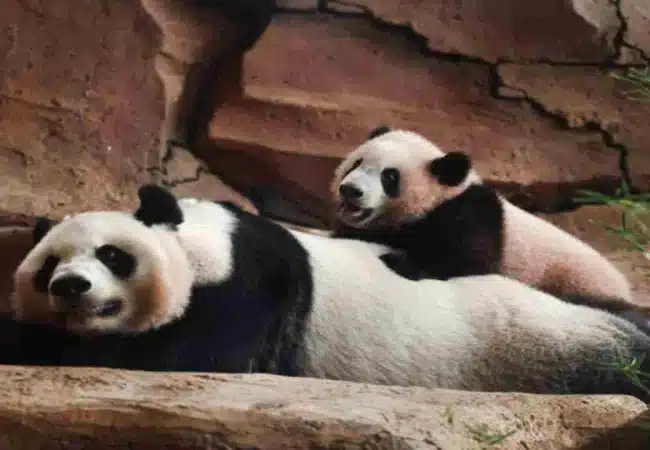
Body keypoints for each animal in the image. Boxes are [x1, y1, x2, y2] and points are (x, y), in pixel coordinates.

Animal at [8, 184, 650, 401]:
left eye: (113, 255)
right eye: (49, 266)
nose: (70, 287)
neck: (204, 240)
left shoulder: (252, 287)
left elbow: (186, 356)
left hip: (544, 343)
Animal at [331, 125, 649, 322]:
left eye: (389, 176)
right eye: (356, 163)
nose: (351, 191)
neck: (442, 195)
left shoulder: (471, 213)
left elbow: (469, 260)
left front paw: (399, 261)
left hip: (582, 283)